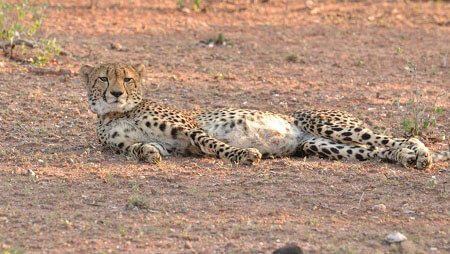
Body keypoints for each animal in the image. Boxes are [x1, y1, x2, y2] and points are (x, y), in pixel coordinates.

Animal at [79, 62, 448, 169]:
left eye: (128, 79)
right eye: (104, 78)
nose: (116, 93)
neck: (118, 113)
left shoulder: (189, 130)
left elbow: (215, 144)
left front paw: (244, 155)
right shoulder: (136, 144)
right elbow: (140, 148)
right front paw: (149, 154)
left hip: (327, 123)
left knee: (399, 137)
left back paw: (420, 153)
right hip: (319, 145)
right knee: (377, 150)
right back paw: (406, 158)